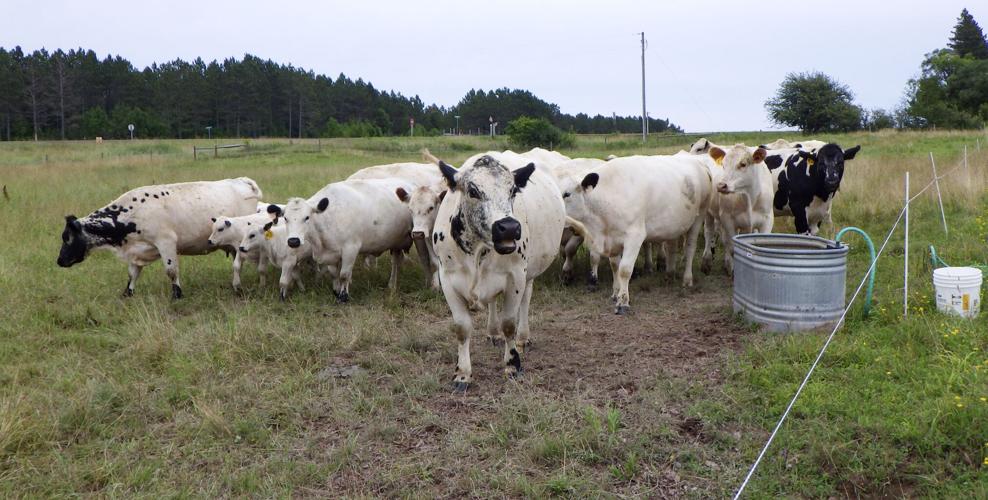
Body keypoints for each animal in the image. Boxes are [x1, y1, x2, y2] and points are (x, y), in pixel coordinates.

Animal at [57, 177, 262, 298]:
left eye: (67, 238)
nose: (59, 261)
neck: (133, 213)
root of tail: (242, 181)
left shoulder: (166, 243)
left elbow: (171, 271)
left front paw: (177, 294)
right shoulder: (137, 251)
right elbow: (132, 273)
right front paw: (128, 293)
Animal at [274, 178, 416, 302]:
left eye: (307, 217)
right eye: (285, 218)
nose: (293, 241)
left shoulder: (350, 249)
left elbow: (344, 275)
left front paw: (343, 296)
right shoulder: (331, 253)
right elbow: (334, 274)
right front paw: (336, 291)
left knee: (395, 264)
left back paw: (392, 284)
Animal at [428, 151, 566, 392]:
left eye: (513, 190)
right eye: (473, 191)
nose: (509, 227)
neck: (477, 250)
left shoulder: (516, 276)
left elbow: (509, 323)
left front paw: (512, 365)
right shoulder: (448, 279)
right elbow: (462, 328)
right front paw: (462, 374)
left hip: (528, 273)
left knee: (525, 301)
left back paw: (523, 337)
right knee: (492, 302)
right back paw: (492, 333)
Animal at [557, 155, 711, 314]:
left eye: (567, 194)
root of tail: (698, 162)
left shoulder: (634, 237)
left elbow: (624, 270)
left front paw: (623, 302)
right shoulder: (613, 239)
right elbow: (615, 266)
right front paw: (616, 293)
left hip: (699, 216)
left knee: (690, 248)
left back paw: (687, 279)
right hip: (673, 225)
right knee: (671, 247)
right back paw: (669, 275)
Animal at [703, 145, 775, 274]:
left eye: (743, 164)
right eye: (723, 164)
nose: (721, 186)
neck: (749, 197)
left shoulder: (767, 220)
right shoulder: (728, 219)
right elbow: (733, 249)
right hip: (709, 213)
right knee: (709, 232)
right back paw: (707, 261)